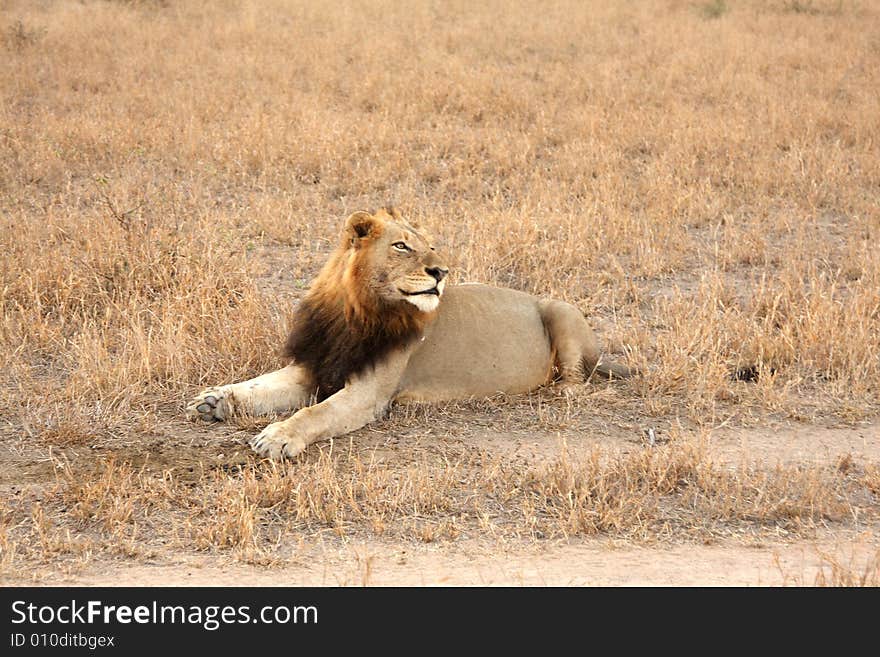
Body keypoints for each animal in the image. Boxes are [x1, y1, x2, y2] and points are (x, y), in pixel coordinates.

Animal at [187, 208, 632, 458]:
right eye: (401, 246)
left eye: (430, 246)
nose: (441, 271)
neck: (355, 309)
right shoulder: (315, 367)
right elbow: (259, 385)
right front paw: (214, 400)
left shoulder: (369, 394)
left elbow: (315, 413)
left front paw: (278, 437)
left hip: (561, 309)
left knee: (575, 379)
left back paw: (558, 390)